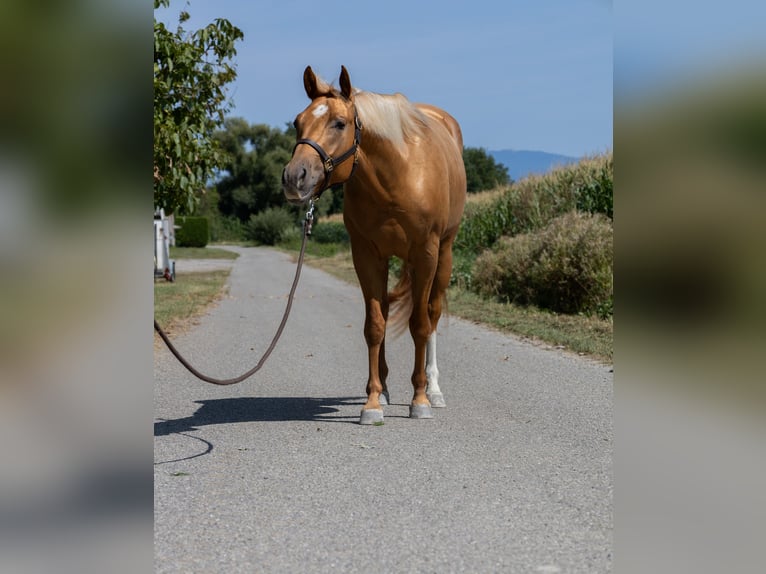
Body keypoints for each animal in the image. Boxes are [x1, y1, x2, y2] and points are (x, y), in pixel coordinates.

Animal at [284, 67, 468, 428]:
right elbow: (375, 325)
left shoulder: (426, 254)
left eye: (339, 123)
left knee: (433, 314)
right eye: (298, 122)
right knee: (384, 308)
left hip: (445, 256)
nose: (294, 177)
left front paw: (419, 400)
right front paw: (372, 402)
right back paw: (383, 388)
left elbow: (420, 325)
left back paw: (434, 389)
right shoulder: (366, 255)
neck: (397, 175)